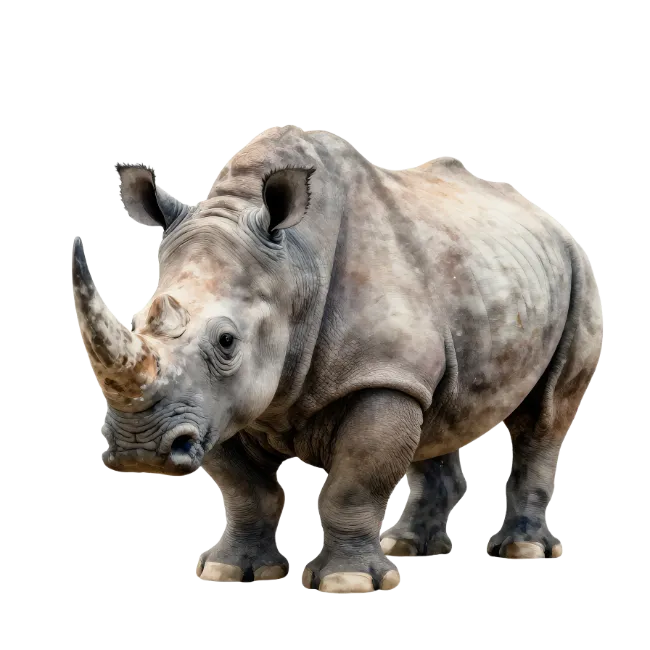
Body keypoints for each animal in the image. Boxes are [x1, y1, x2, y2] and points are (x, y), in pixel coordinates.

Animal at [76, 125, 601, 591]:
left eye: (226, 341)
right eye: (139, 322)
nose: (141, 449)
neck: (294, 266)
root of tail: (549, 220)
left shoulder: (377, 375)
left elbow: (352, 485)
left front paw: (349, 581)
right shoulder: (215, 404)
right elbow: (245, 490)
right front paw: (230, 570)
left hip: (579, 272)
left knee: (544, 418)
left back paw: (521, 550)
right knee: (438, 412)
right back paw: (406, 547)